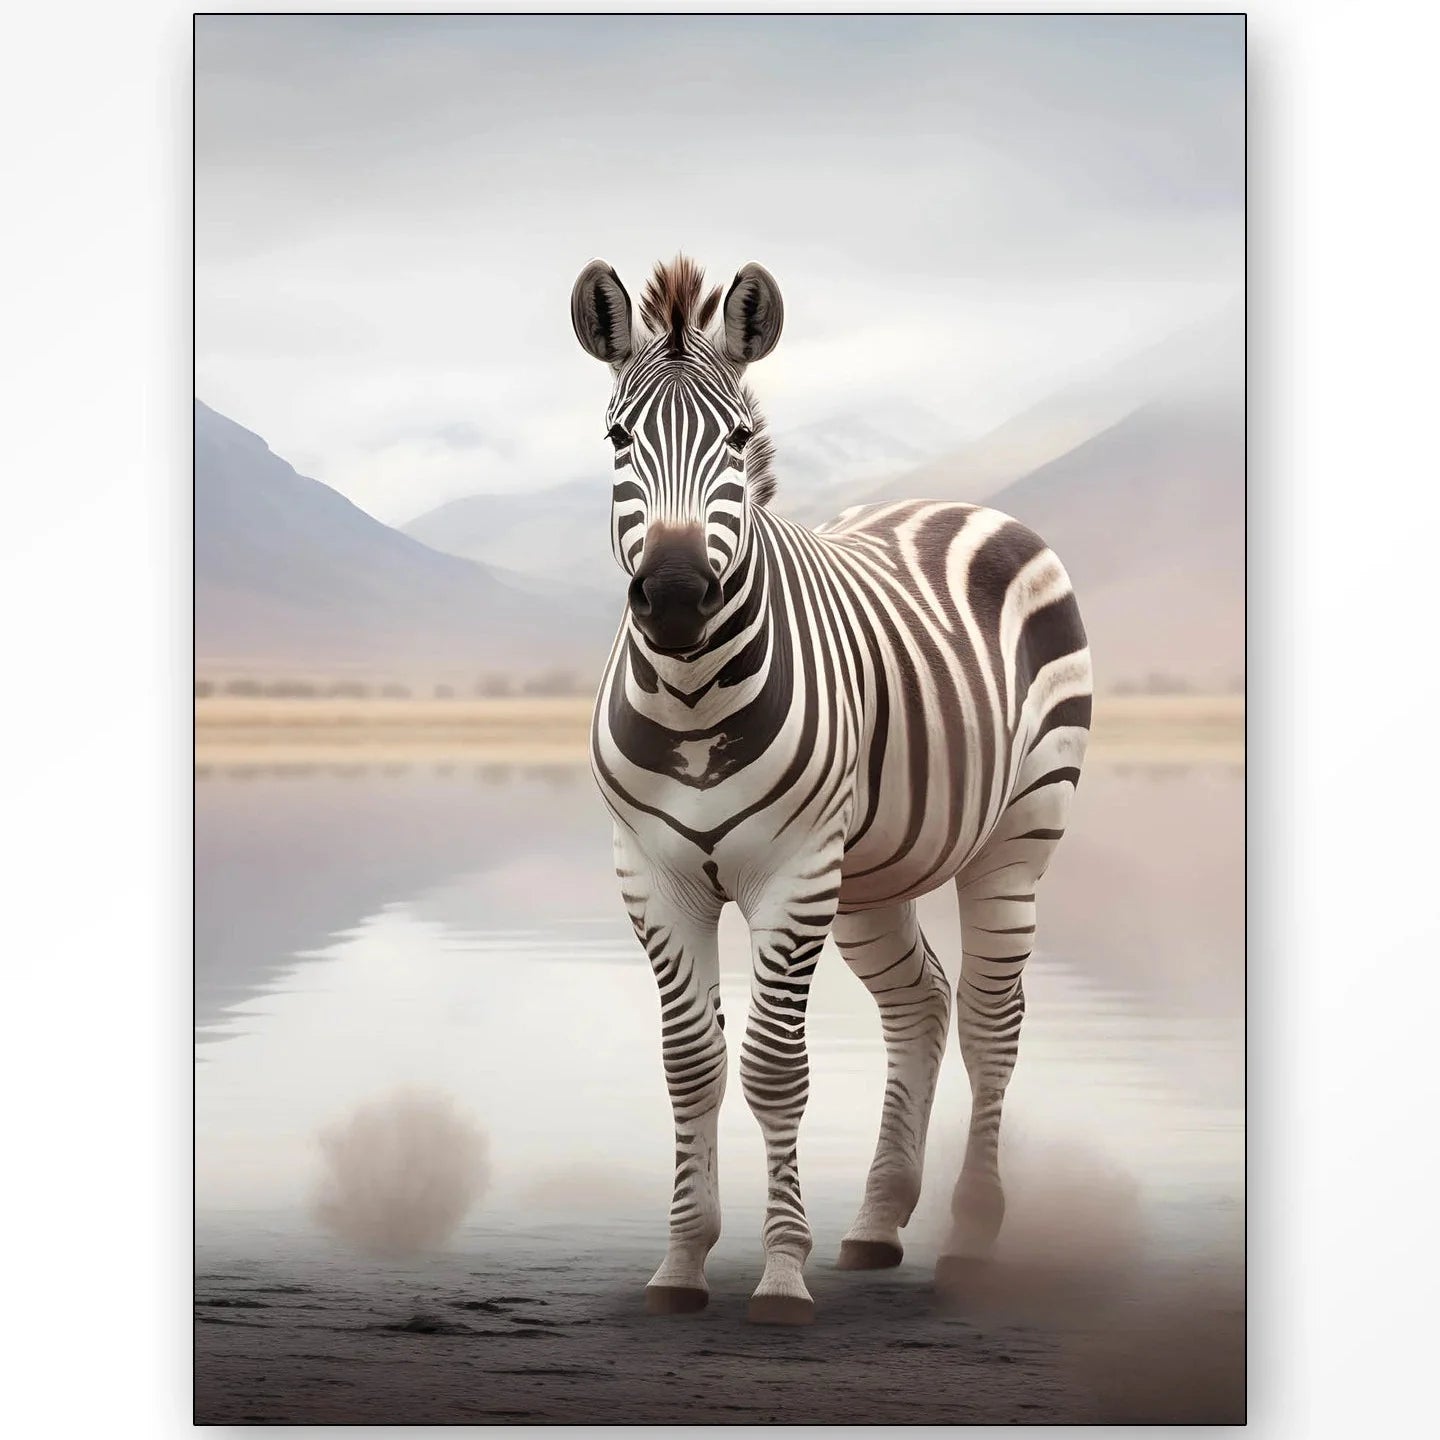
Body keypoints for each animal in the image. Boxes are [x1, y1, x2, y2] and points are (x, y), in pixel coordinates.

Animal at [571, 255, 1092, 1325]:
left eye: (737, 440)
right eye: (616, 438)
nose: (675, 597)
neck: (691, 696)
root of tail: (959, 503)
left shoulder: (793, 872)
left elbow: (774, 1069)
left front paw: (779, 1274)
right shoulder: (652, 875)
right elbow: (690, 1067)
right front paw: (682, 1263)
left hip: (1019, 835)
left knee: (991, 1020)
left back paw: (969, 1239)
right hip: (873, 876)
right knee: (921, 1004)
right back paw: (879, 1223)